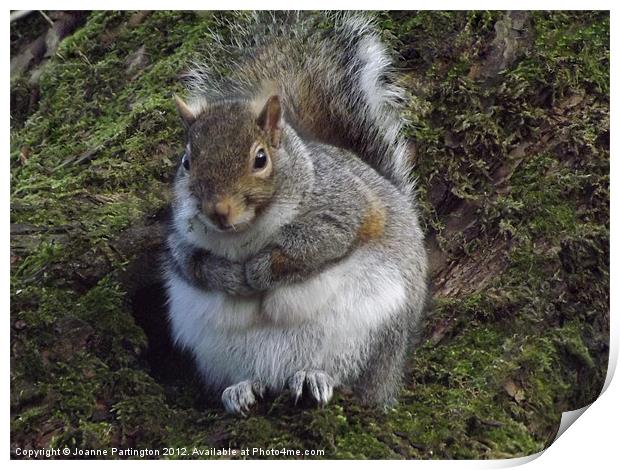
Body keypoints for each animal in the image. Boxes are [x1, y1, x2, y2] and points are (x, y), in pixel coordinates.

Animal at [162, 11, 428, 414]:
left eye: (260, 159)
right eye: (187, 162)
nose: (219, 212)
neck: (245, 233)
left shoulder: (343, 208)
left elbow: (311, 246)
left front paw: (258, 271)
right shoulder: (180, 238)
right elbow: (193, 264)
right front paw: (227, 276)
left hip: (369, 335)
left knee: (352, 378)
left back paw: (315, 378)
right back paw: (240, 389)